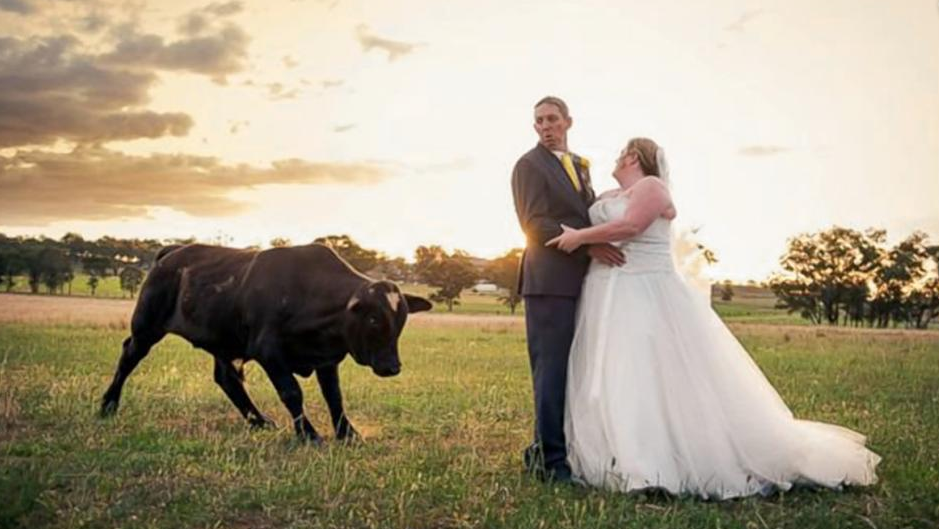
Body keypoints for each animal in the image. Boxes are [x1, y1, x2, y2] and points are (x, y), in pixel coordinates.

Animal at [100, 243, 434, 442]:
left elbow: (335, 397)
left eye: (401, 319)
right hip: (146, 326)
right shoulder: (269, 352)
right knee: (128, 357)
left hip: (222, 340)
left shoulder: (326, 359)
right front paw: (308, 435)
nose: (392, 366)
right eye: (374, 319)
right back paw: (108, 405)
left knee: (226, 379)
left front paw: (347, 433)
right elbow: (292, 393)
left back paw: (257, 421)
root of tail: (172, 253)